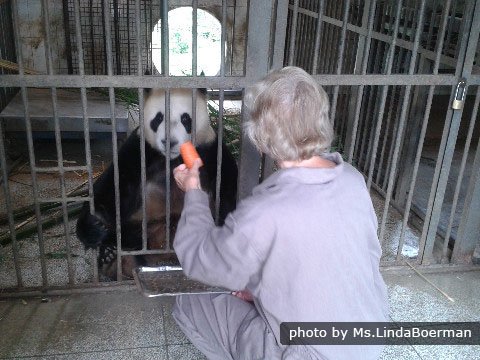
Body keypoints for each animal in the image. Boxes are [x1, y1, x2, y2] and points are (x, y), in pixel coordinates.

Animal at [75, 88, 238, 280]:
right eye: (158, 118)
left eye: (185, 119)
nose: (170, 141)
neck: (172, 159)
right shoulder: (140, 149)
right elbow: (113, 185)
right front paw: (92, 226)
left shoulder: (211, 150)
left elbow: (227, 190)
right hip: (143, 224)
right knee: (125, 234)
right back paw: (113, 258)